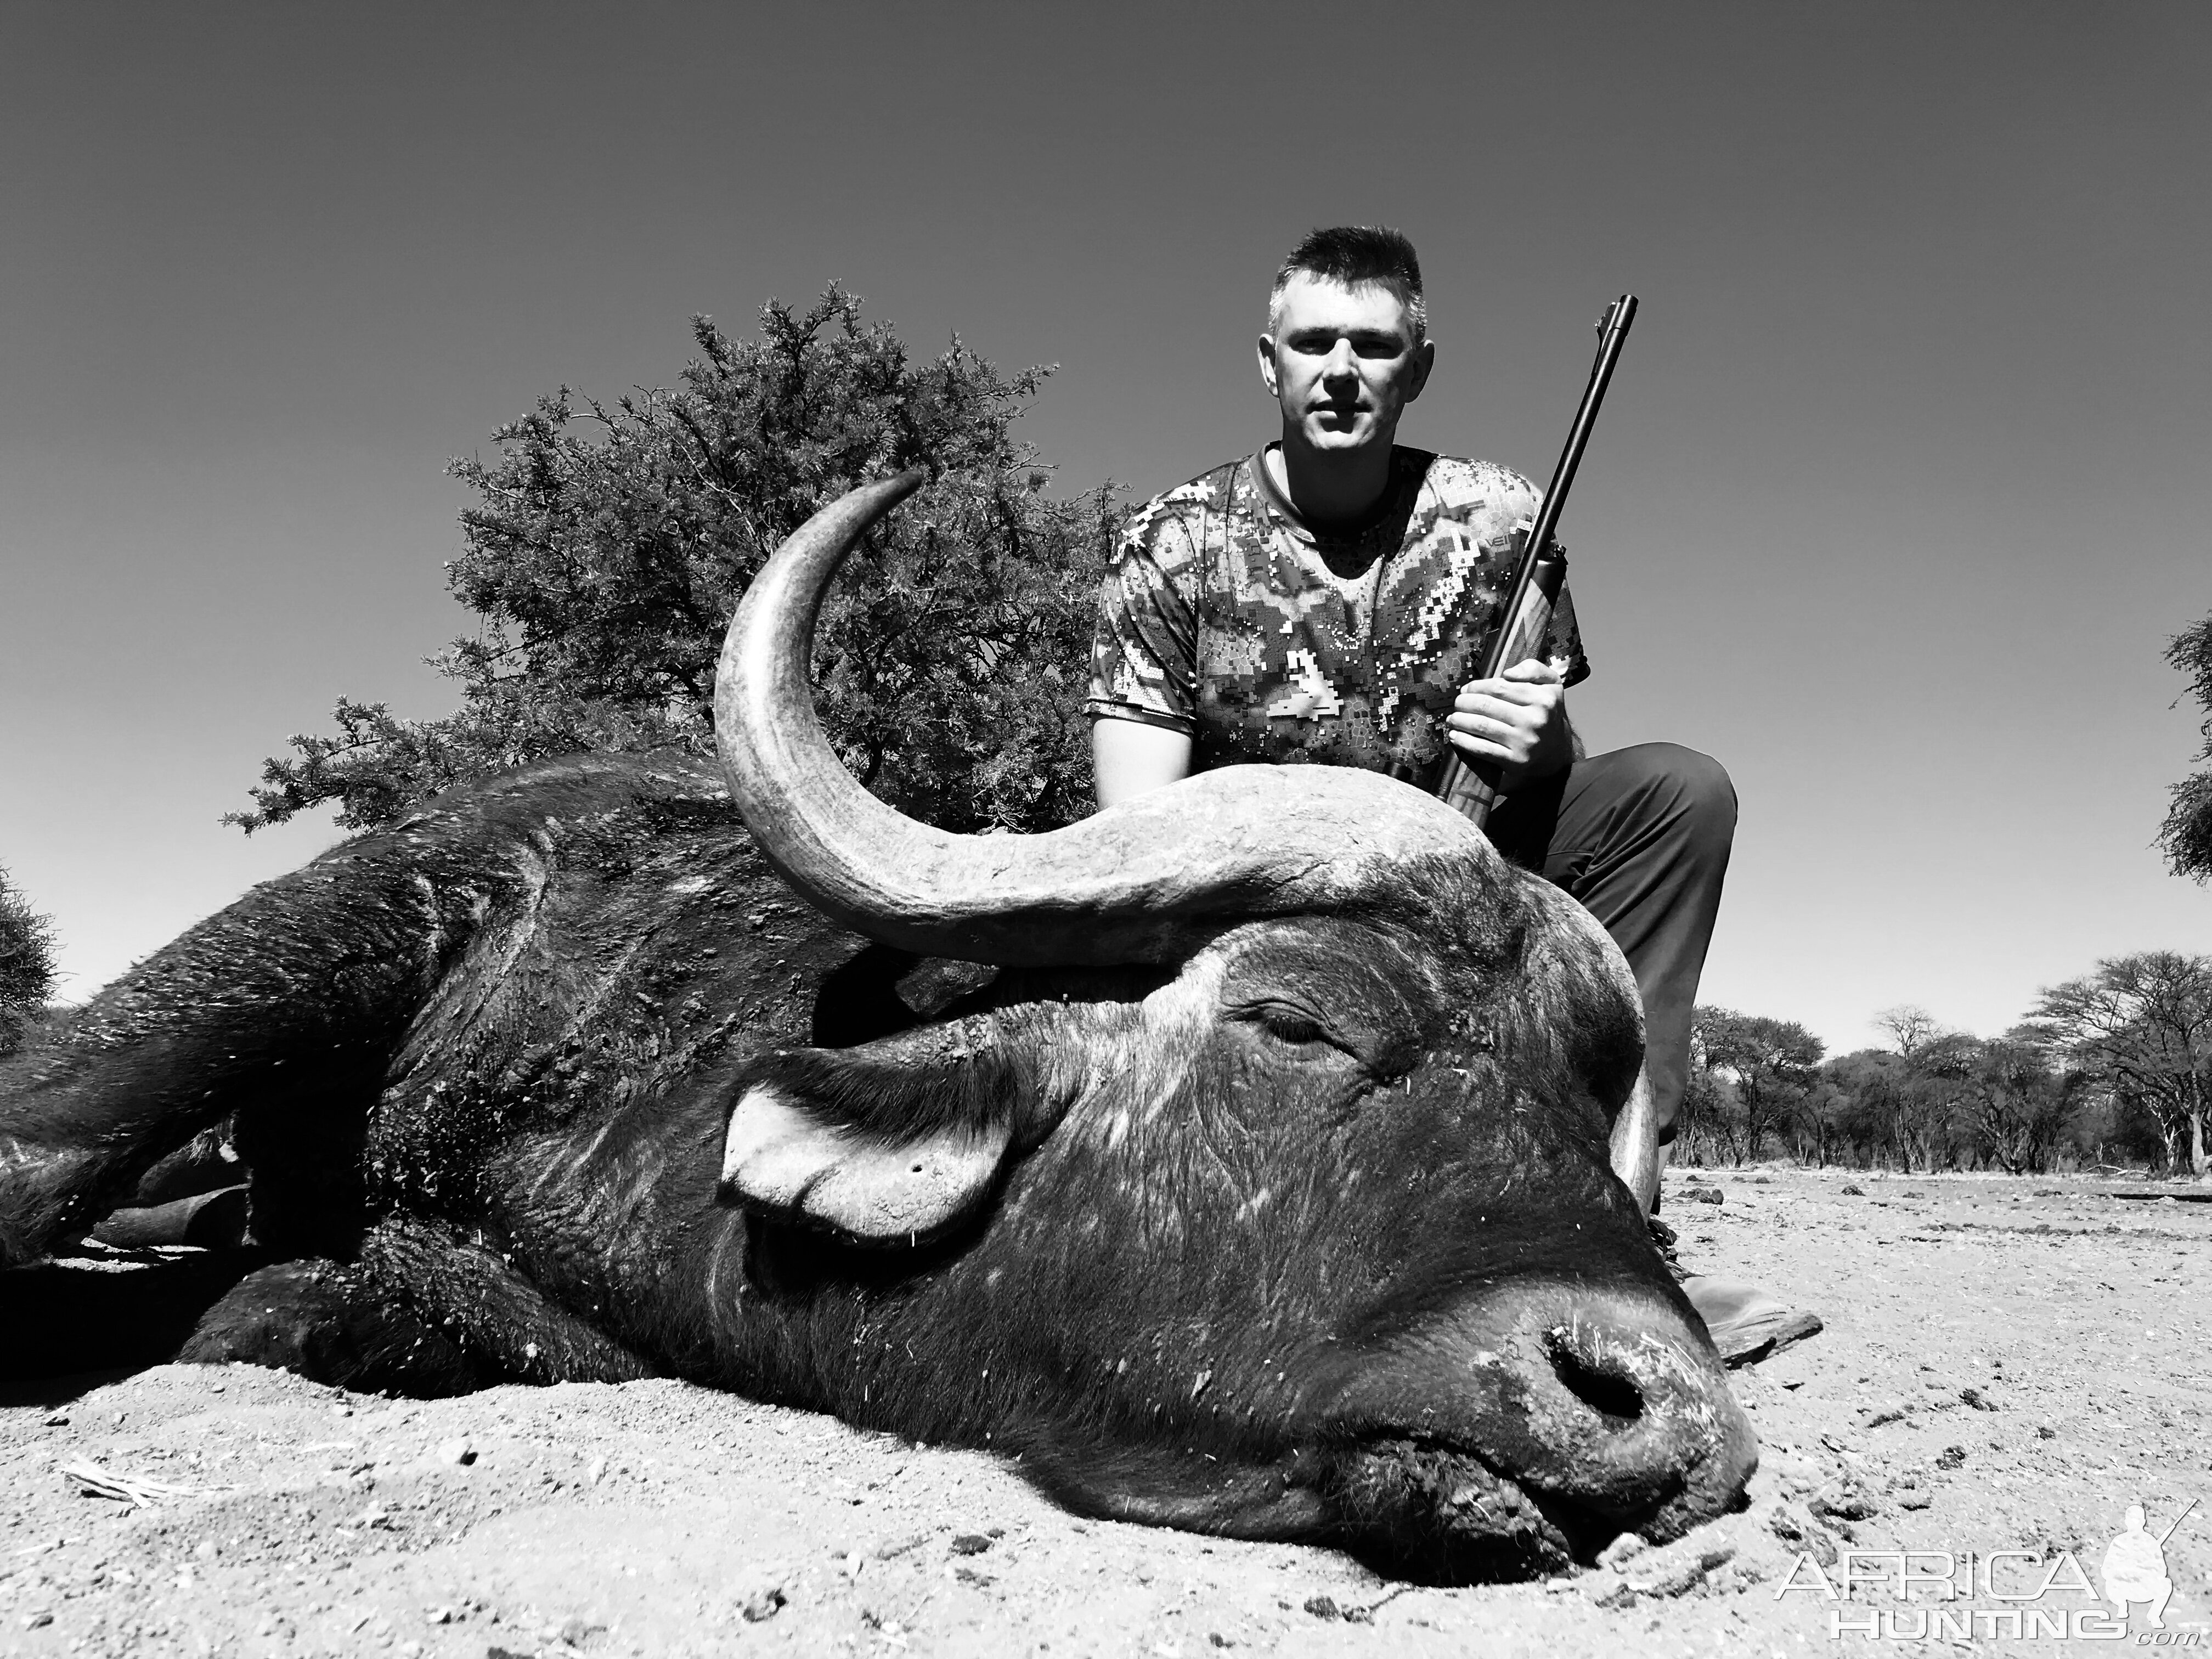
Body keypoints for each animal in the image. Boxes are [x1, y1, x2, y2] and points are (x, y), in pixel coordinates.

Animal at [8, 471, 1752, 1583]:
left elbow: (332, 1309)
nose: (1663, 1418)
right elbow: (46, 1157)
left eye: (1586, 1099)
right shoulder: (392, 891)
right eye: (1298, 1021)